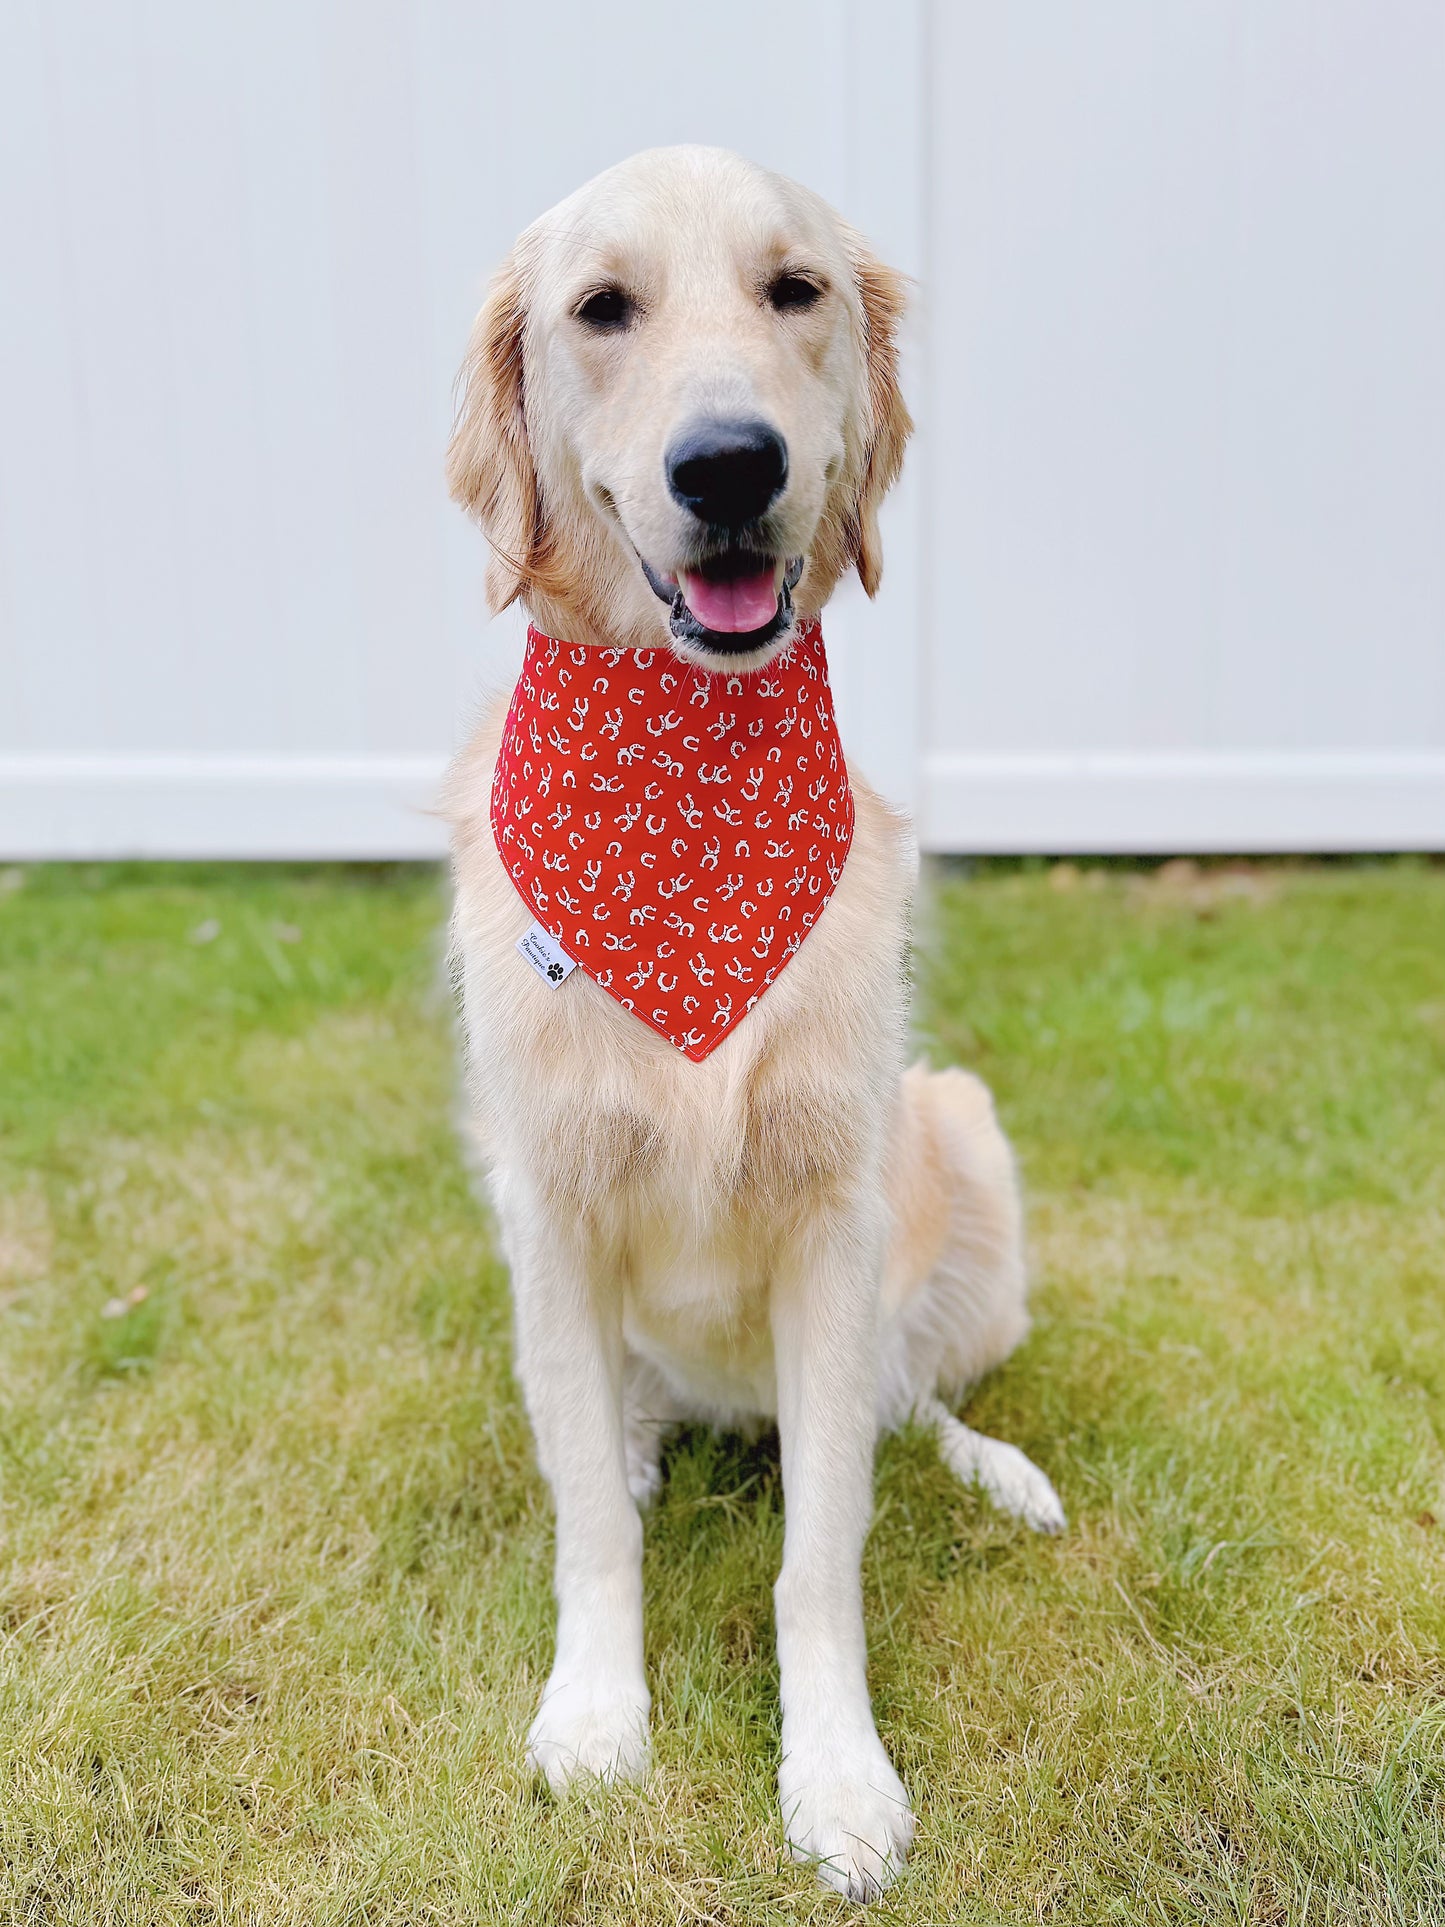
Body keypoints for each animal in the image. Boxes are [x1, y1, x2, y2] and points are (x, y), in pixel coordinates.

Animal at [441, 146, 1063, 1896]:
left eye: (795, 291)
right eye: (602, 308)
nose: (729, 464)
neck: (687, 786)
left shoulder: (834, 1219)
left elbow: (821, 1550)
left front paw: (838, 1774)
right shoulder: (549, 1199)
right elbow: (590, 1516)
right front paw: (595, 1717)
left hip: (965, 1143)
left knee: (912, 1397)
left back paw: (999, 1468)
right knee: (619, 1421)